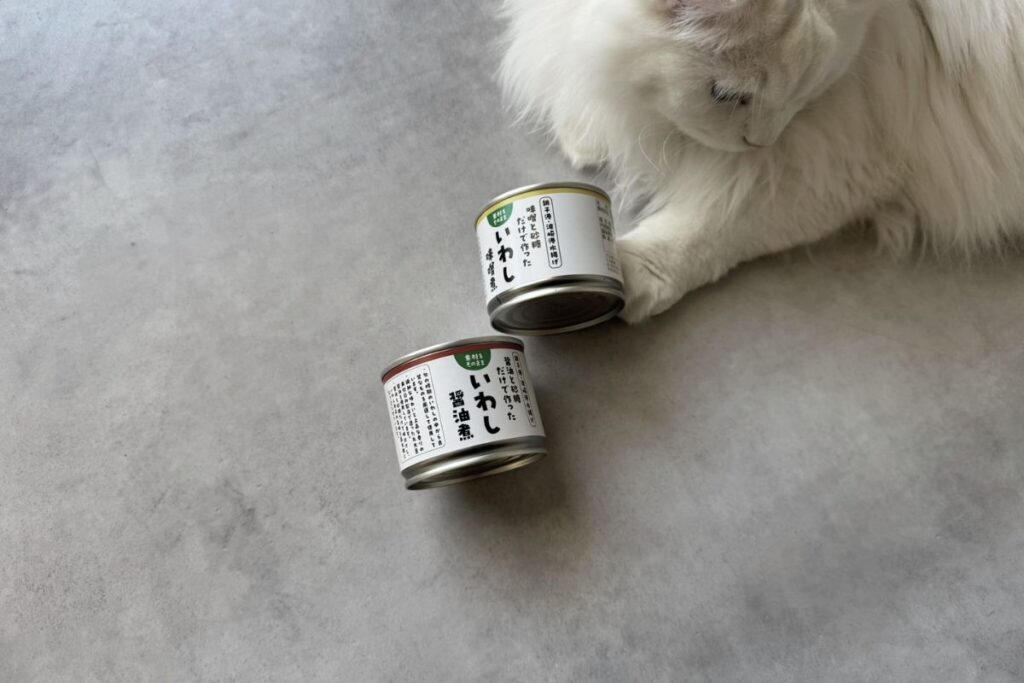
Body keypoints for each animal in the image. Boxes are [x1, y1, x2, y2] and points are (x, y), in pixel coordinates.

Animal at [499, 0, 1024, 322]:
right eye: (729, 96)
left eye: (806, 93)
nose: (762, 142)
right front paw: (585, 135)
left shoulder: (847, 156)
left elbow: (713, 226)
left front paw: (624, 274)